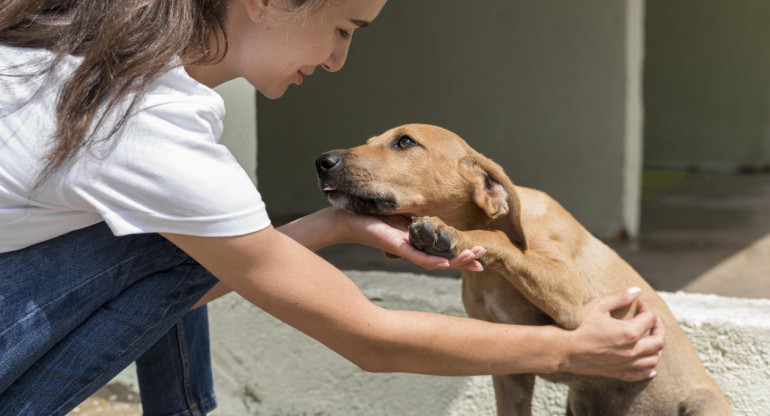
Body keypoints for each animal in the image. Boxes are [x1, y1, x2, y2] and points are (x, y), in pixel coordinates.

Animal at [316, 123, 728, 416]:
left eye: (404, 142)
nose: (322, 161)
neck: (489, 275)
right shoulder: (508, 366)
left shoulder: (568, 295)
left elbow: (497, 240)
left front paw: (448, 235)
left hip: (704, 403)